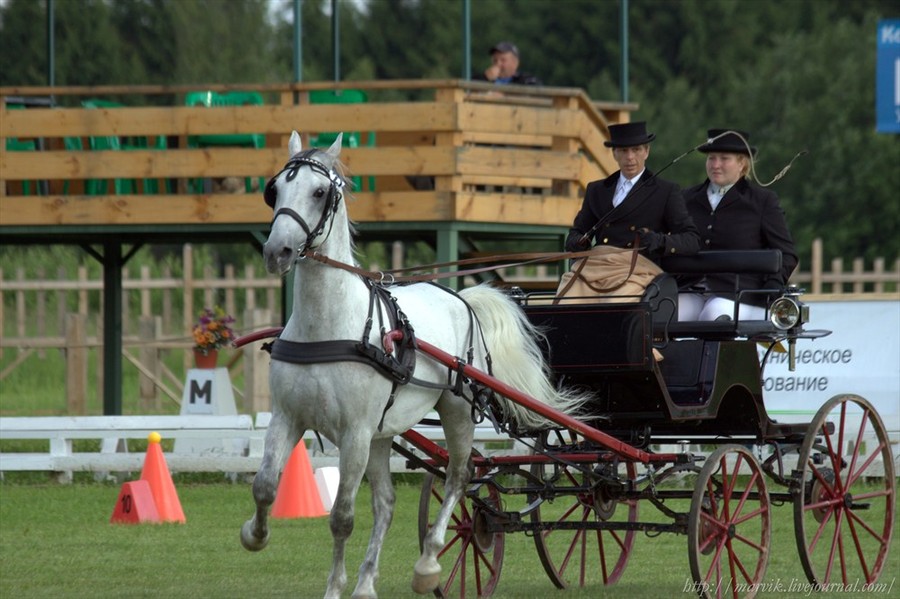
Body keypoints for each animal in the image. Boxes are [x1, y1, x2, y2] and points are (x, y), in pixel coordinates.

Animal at [241, 132, 592, 599]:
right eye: (275, 190)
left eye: (319, 193)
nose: (276, 251)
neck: (328, 326)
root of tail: (462, 297)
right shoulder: (288, 417)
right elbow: (265, 486)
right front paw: (254, 535)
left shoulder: (354, 433)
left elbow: (341, 516)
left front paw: (334, 587)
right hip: (382, 433)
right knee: (387, 502)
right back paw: (367, 582)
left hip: (454, 410)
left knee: (459, 476)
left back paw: (428, 563)